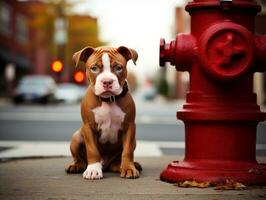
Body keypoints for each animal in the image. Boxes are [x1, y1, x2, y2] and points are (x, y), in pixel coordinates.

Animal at [65, 45, 141, 180]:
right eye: (94, 68)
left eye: (118, 68)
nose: (107, 81)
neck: (108, 100)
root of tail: (106, 165)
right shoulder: (88, 127)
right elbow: (92, 150)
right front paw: (93, 170)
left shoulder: (129, 126)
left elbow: (127, 150)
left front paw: (128, 168)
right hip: (76, 137)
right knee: (80, 159)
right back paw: (76, 166)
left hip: (133, 141)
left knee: (118, 159)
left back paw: (122, 166)